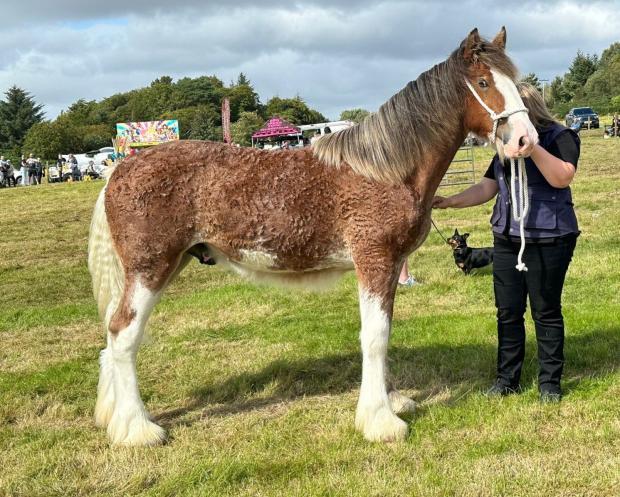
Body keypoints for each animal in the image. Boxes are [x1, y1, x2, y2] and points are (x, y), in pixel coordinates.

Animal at [87, 27, 536, 446]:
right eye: (484, 82)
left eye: (514, 80)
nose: (525, 139)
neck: (385, 169)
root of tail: (120, 170)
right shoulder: (374, 261)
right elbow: (375, 337)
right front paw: (380, 422)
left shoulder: (389, 267)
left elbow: (384, 332)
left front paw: (392, 401)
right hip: (151, 268)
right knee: (122, 334)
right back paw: (138, 429)